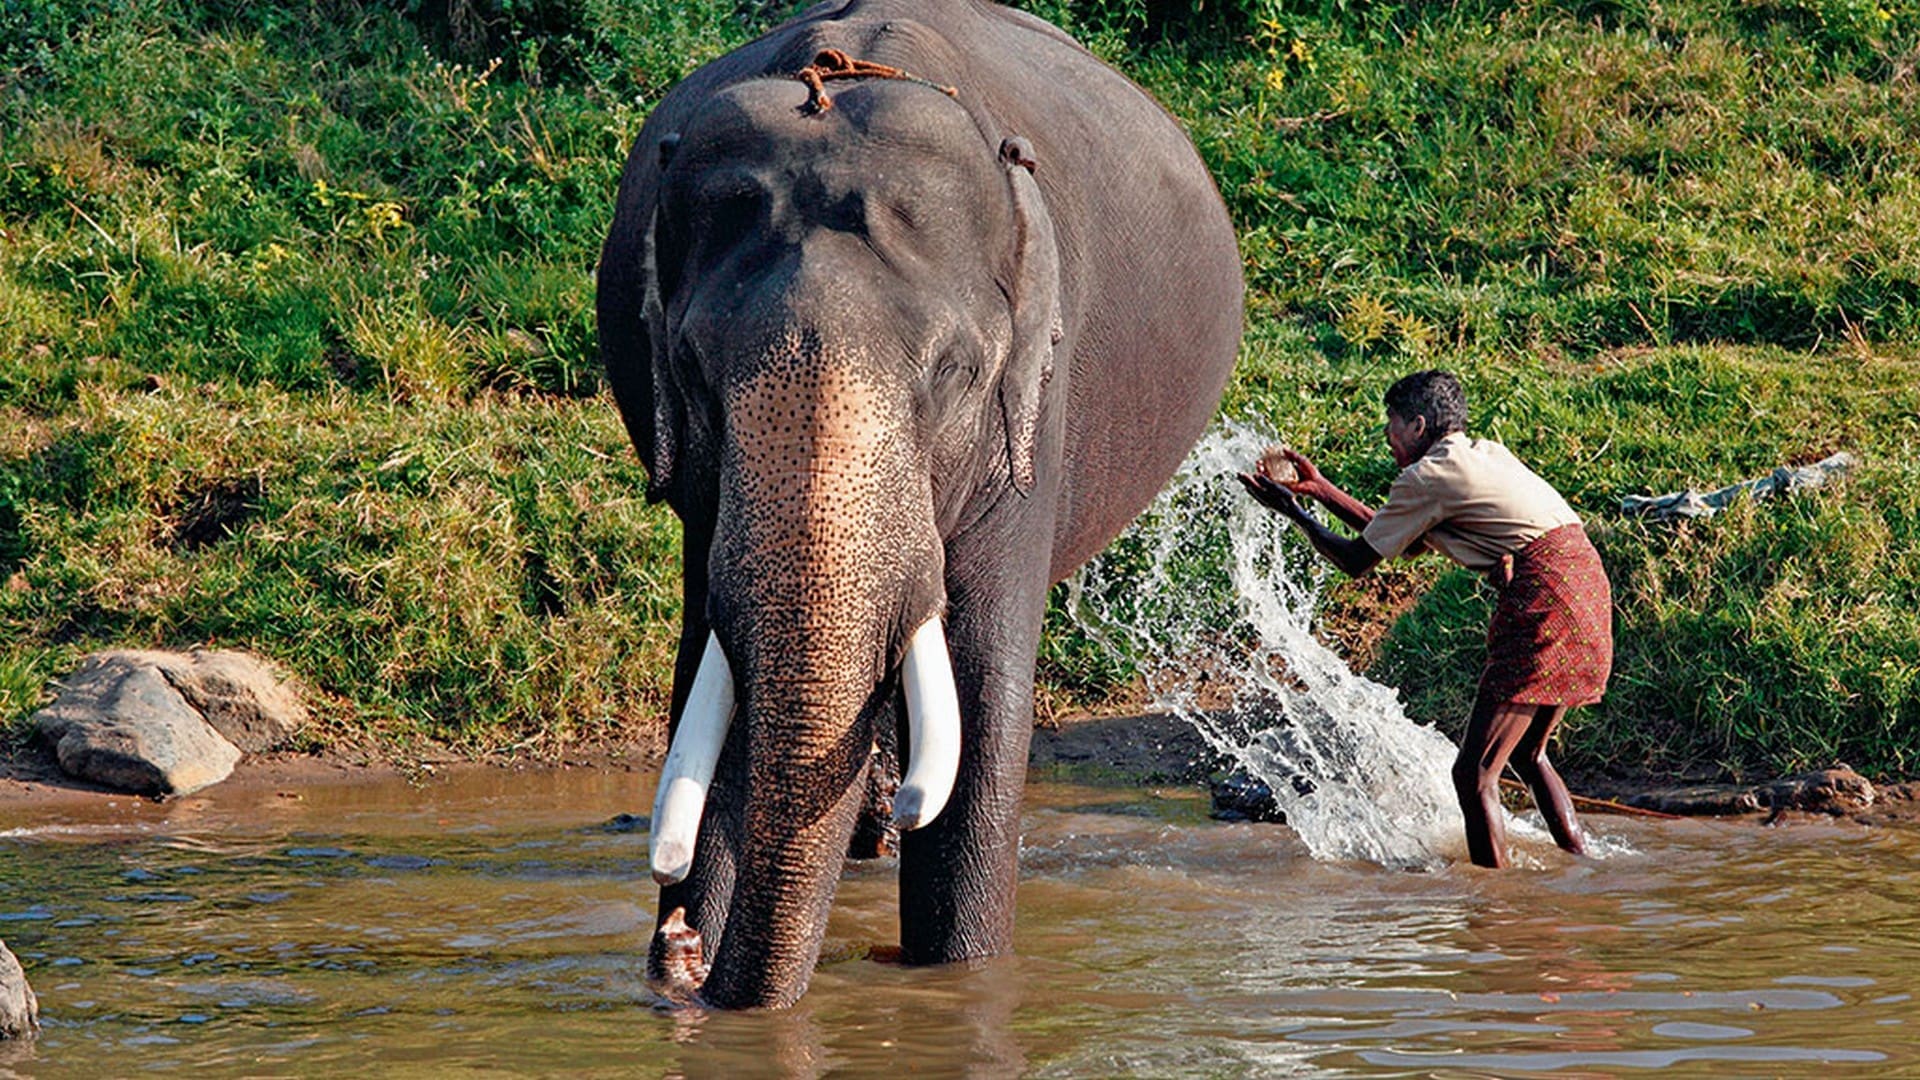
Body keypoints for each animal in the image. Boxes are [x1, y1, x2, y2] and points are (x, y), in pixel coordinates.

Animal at [591, 2, 1236, 1006]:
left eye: (955, 372)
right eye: (692, 370)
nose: (682, 948)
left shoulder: (1034, 407)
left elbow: (982, 686)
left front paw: (961, 977)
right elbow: (715, 673)